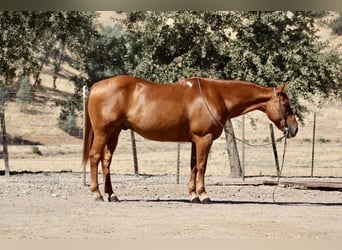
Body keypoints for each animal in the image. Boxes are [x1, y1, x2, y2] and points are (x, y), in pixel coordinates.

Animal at [81, 74, 298, 203]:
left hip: (115, 133)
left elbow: (193, 166)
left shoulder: (196, 140)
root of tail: (97, 85)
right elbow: (202, 166)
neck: (216, 95)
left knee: (106, 161)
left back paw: (112, 194)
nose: (294, 129)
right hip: (103, 132)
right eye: (286, 105)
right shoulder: (204, 138)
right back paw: (97, 193)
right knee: (95, 157)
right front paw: (203, 195)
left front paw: (193, 194)